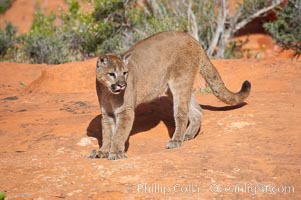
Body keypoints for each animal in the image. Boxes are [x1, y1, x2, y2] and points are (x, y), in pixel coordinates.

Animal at [92, 31, 250, 160]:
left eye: (125, 73)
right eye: (111, 74)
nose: (122, 84)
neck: (108, 93)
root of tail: (191, 37)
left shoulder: (125, 111)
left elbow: (119, 134)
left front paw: (116, 152)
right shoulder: (107, 114)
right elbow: (107, 134)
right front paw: (103, 151)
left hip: (180, 82)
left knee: (182, 113)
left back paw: (176, 140)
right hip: (173, 88)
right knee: (197, 111)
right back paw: (188, 135)